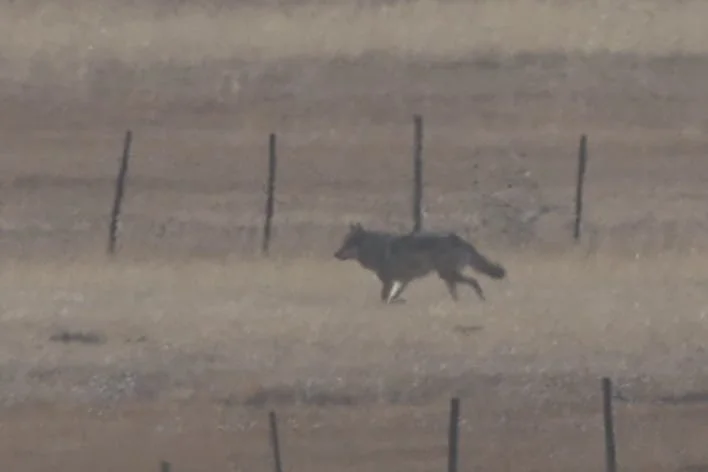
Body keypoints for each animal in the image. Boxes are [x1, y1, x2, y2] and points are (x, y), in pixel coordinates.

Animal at [334, 223, 506, 303]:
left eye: (347, 244)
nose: (335, 254)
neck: (376, 249)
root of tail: (458, 239)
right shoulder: (403, 281)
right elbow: (392, 297)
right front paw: (399, 302)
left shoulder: (390, 281)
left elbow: (385, 298)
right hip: (448, 278)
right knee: (458, 292)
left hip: (448, 275)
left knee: (474, 281)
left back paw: (482, 299)